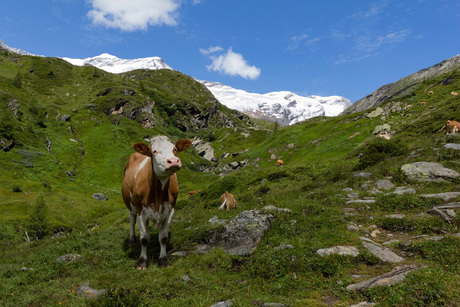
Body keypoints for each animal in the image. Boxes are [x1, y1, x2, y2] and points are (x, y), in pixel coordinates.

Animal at [121, 136, 191, 268]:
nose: (173, 161)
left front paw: (163, 260)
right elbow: (144, 238)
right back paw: (132, 239)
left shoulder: (171, 209)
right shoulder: (140, 209)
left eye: (174, 149)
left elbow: (163, 237)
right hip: (131, 205)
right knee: (132, 219)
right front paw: (142, 261)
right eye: (154, 151)